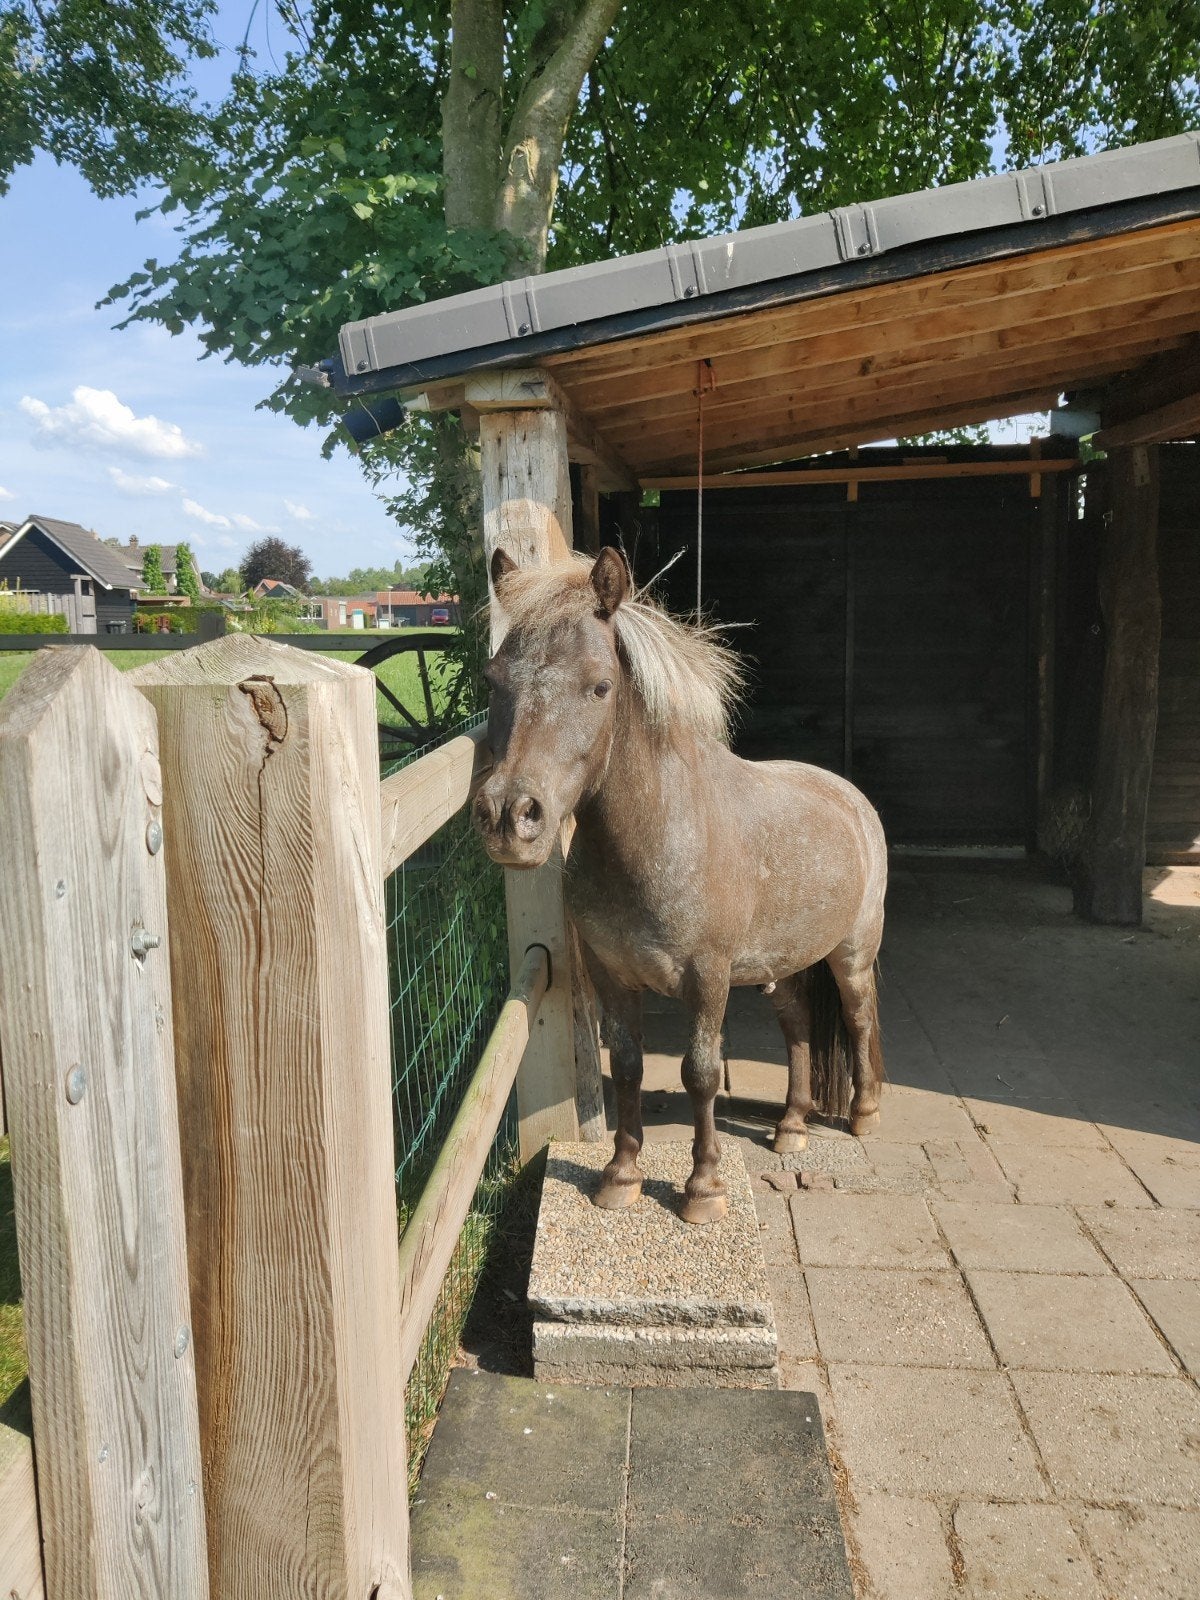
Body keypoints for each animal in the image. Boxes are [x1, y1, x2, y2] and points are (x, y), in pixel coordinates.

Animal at [473, 545, 887, 1225]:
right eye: (493, 681)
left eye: (600, 685)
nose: (510, 817)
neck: (659, 836)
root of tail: (853, 800)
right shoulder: (611, 974)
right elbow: (629, 1066)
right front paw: (620, 1176)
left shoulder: (708, 978)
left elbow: (700, 1073)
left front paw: (704, 1188)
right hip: (782, 966)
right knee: (797, 1027)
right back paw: (792, 1127)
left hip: (851, 954)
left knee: (859, 1019)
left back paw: (864, 1114)